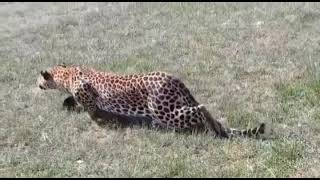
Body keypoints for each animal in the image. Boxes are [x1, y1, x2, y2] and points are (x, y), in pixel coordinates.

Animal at [36, 63, 266, 139]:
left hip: (164, 111)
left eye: (38, 79)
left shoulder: (85, 92)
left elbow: (91, 110)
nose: (36, 84)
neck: (67, 74)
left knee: (201, 109)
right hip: (172, 107)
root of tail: (172, 78)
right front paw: (67, 103)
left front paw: (96, 119)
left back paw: (212, 129)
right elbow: (74, 101)